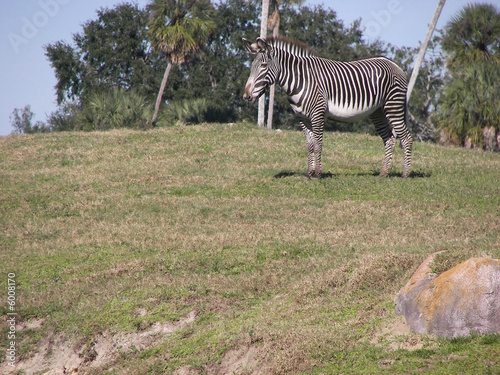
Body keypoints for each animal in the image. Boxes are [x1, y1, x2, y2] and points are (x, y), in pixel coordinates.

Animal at [243, 36, 414, 179]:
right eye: (251, 67)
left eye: (264, 65)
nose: (246, 96)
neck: (301, 79)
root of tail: (394, 64)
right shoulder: (302, 118)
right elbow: (310, 145)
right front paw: (309, 173)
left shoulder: (317, 114)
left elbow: (318, 145)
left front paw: (317, 174)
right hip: (377, 112)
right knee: (389, 140)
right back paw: (383, 173)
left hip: (393, 106)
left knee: (406, 138)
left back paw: (405, 174)